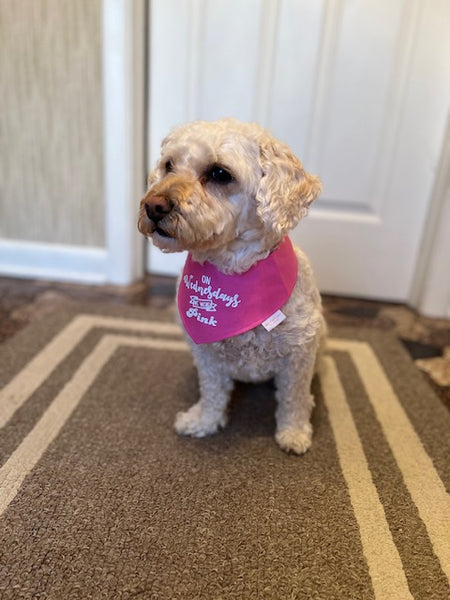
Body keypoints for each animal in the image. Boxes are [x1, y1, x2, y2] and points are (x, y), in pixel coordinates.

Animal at [139, 118, 326, 454]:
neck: (233, 275)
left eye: (219, 173)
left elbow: (293, 399)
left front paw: (293, 433)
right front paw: (203, 421)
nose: (153, 205)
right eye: (169, 165)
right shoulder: (207, 356)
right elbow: (213, 392)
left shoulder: (298, 356)